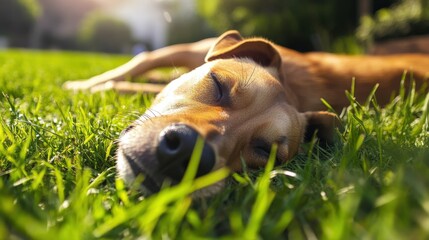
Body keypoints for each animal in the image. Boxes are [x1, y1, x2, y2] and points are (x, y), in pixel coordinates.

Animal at [63, 30, 428, 196]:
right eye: (217, 84)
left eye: (264, 152)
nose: (188, 155)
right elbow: (133, 74)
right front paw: (86, 87)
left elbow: (135, 88)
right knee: (143, 60)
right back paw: (81, 84)